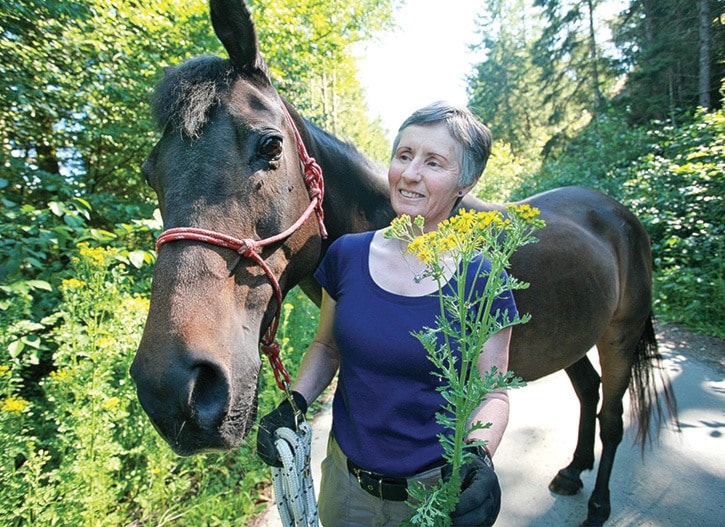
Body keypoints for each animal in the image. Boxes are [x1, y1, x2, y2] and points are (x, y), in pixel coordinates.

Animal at [129, 2, 672, 524]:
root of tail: (618, 213)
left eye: (270, 145)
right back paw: (572, 472)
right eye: (150, 171)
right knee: (589, 393)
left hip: (619, 336)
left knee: (612, 418)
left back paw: (598, 505)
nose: (171, 389)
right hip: (574, 336)